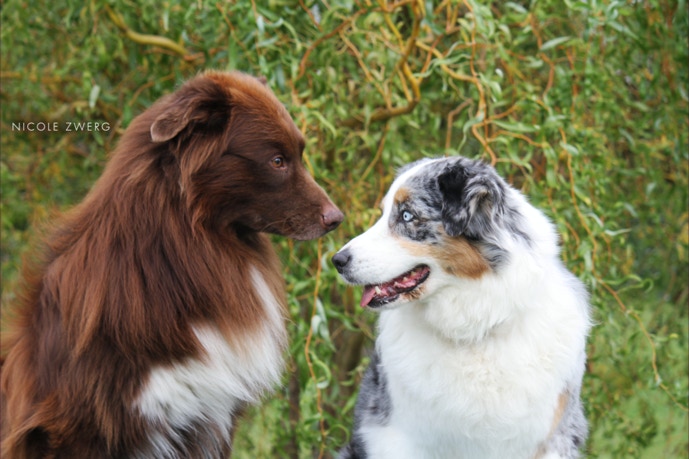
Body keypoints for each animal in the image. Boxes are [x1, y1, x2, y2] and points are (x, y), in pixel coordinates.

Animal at [1, 71, 343, 458]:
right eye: (277, 161)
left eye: (299, 154)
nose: (337, 218)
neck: (189, 246)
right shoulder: (82, 426)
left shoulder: (210, 419)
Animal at [332, 156, 590, 459]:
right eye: (382, 214)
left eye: (407, 216)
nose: (338, 260)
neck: (473, 325)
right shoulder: (397, 437)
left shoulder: (551, 439)